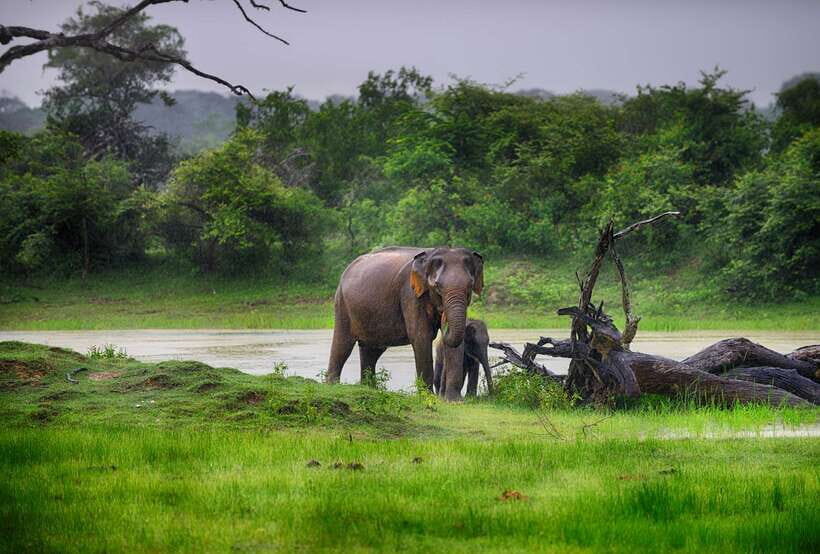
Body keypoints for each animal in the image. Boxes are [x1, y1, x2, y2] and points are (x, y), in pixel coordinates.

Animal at [325, 246, 484, 400]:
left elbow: (457, 343)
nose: (443, 319)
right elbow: (421, 336)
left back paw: (369, 388)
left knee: (371, 351)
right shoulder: (410, 294)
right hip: (342, 304)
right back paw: (333, 385)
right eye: (437, 286)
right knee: (342, 345)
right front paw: (428, 397)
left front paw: (454, 401)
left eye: (470, 285)